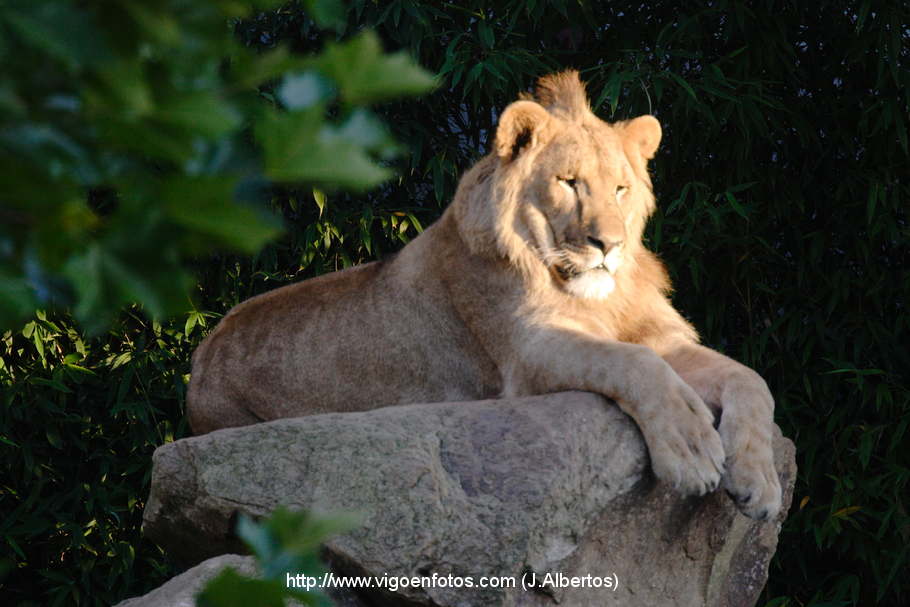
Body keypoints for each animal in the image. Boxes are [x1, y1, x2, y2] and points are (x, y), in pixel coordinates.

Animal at [191, 69, 784, 520]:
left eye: (621, 188)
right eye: (569, 182)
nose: (608, 245)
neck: (594, 292)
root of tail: (203, 354)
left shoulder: (660, 337)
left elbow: (751, 379)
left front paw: (760, 483)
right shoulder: (528, 353)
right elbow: (635, 365)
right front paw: (693, 452)